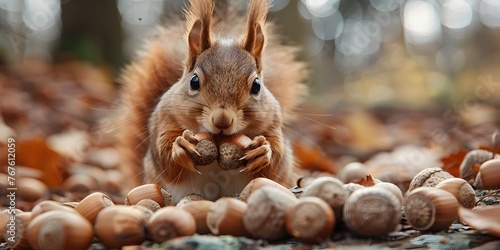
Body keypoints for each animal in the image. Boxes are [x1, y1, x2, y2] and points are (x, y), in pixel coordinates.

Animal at [115, 0, 306, 203]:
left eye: (256, 86)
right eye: (194, 81)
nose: (222, 120)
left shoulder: (273, 125)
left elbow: (275, 164)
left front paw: (263, 151)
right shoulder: (166, 119)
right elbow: (166, 160)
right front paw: (181, 147)